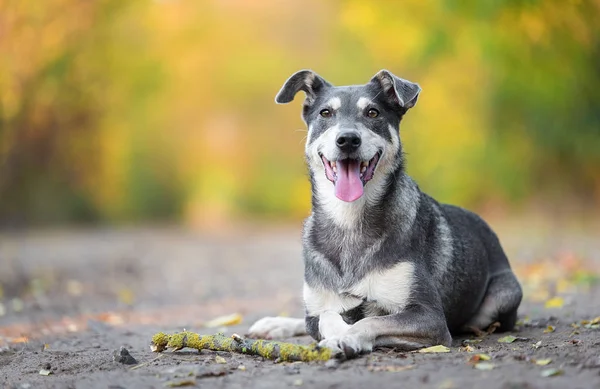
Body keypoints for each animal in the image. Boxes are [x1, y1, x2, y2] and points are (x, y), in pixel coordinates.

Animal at [246, 68, 524, 356]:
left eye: (372, 113)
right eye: (325, 113)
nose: (347, 140)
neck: (349, 219)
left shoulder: (429, 317)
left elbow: (371, 320)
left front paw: (347, 338)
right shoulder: (317, 311)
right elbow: (326, 315)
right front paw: (336, 334)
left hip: (504, 296)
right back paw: (274, 324)